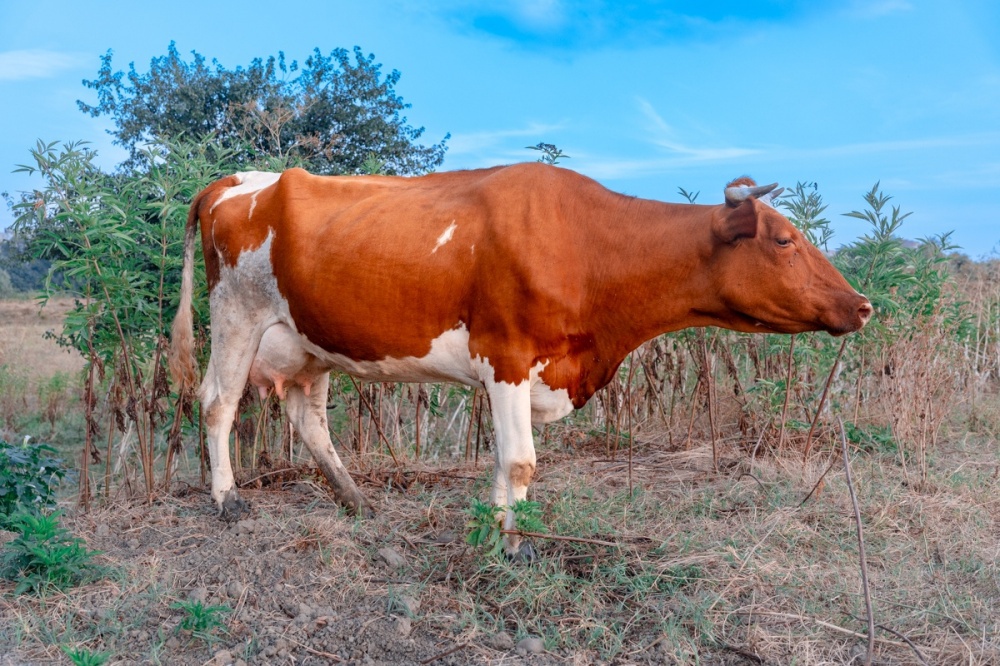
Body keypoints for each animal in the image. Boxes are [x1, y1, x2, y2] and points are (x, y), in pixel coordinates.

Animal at [168, 162, 872, 556]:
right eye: (784, 240)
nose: (862, 305)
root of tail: (239, 179)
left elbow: (507, 464)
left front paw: (499, 528)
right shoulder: (506, 357)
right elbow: (521, 461)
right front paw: (513, 544)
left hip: (309, 341)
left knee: (307, 417)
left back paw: (354, 500)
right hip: (237, 316)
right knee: (218, 403)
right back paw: (227, 500)